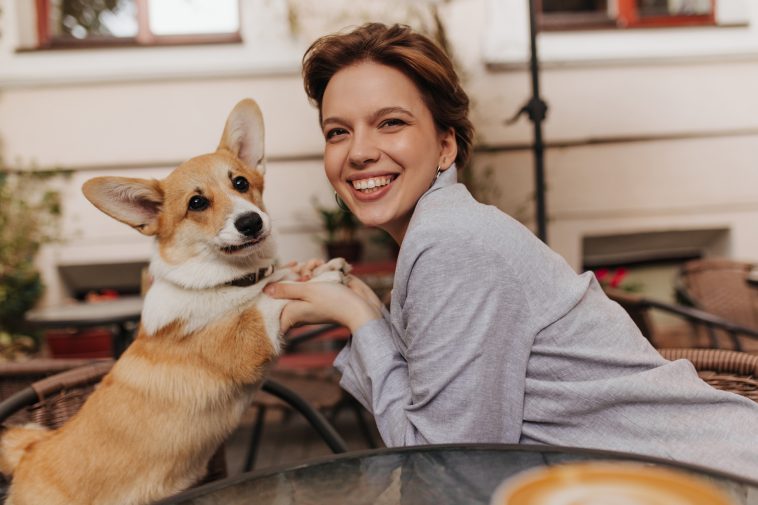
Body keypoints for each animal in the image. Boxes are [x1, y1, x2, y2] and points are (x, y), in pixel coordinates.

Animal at [0, 99, 348, 504]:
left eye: (240, 183)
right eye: (196, 203)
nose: (251, 222)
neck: (226, 281)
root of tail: (28, 456)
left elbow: (276, 281)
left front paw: (311, 270)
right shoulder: (244, 341)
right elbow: (264, 300)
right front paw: (321, 280)